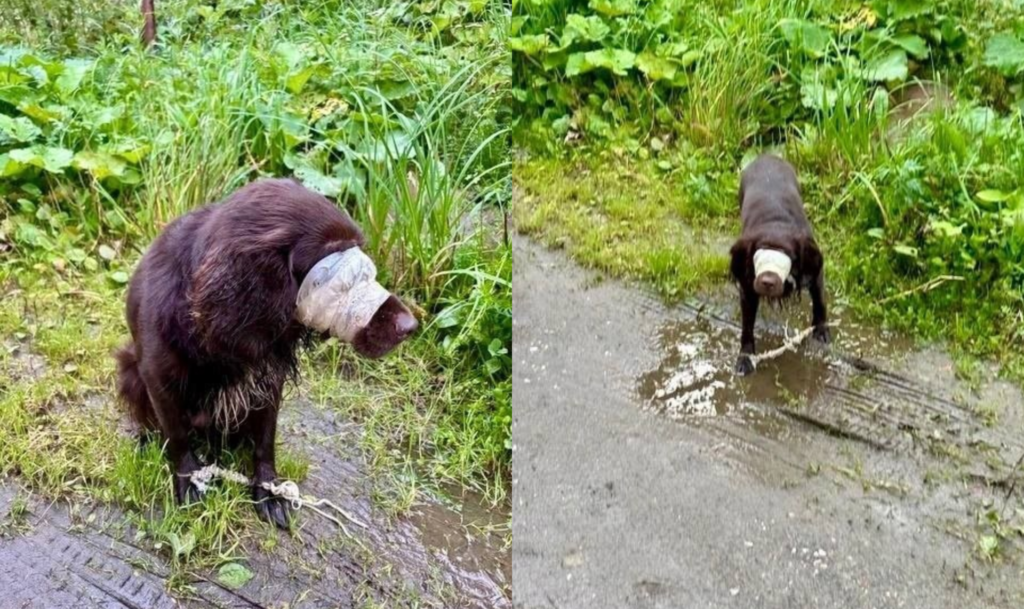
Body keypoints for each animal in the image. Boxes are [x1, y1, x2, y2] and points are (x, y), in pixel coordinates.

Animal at [733, 155, 827, 376]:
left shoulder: (814, 271)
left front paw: (821, 330)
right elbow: (747, 325)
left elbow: (819, 300)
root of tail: (766, 155)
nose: (768, 281)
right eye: (758, 253)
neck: (775, 224)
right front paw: (745, 359)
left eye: (790, 256)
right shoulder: (748, 286)